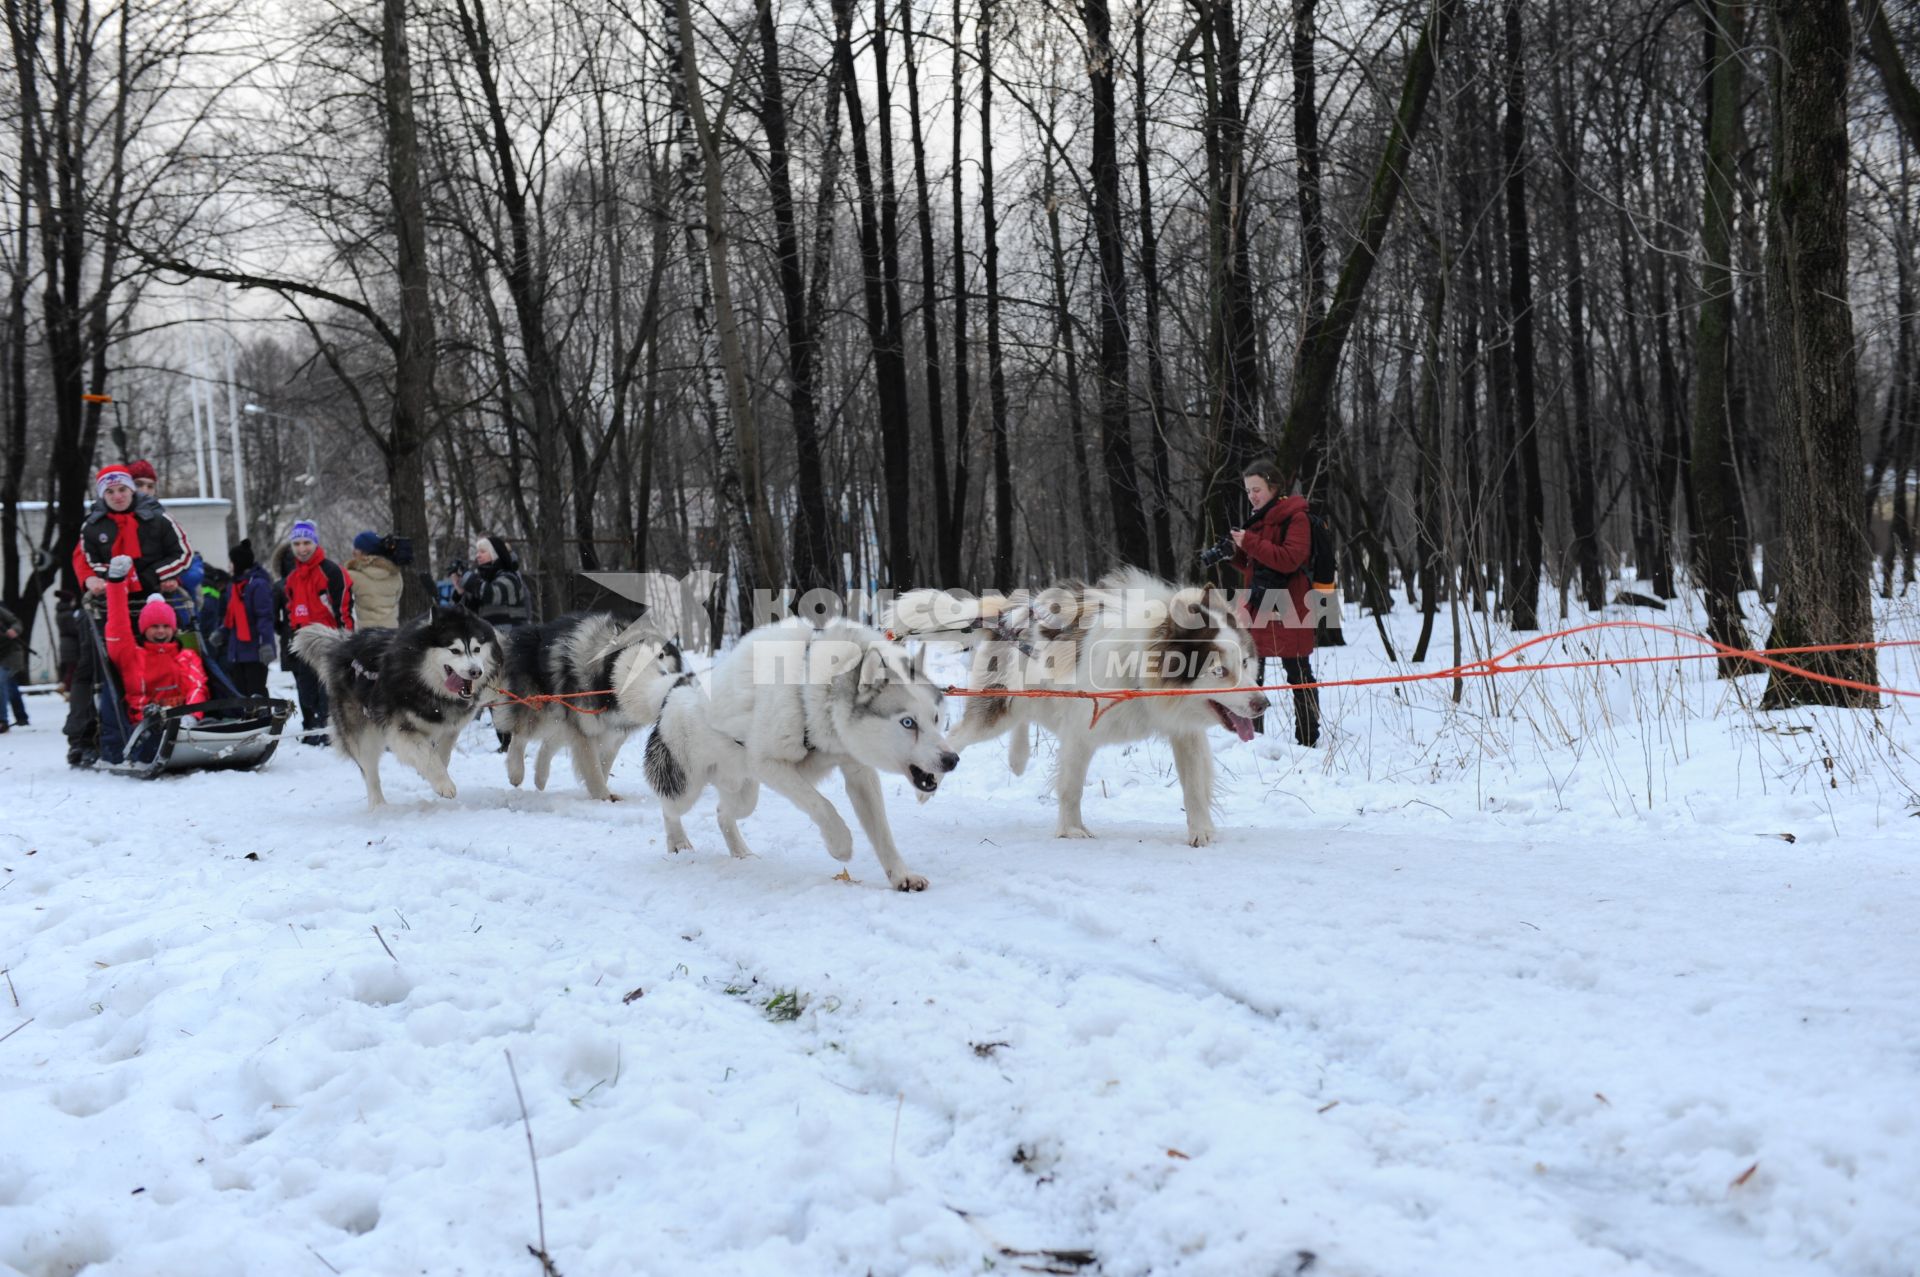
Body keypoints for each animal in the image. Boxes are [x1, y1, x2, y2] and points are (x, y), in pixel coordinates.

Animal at [291, 602, 503, 802]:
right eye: (455, 650)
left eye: (477, 649)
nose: (476, 672)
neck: (427, 686)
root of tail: (344, 646)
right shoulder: (400, 729)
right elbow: (427, 755)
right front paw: (443, 783)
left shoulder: (452, 725)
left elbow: (443, 750)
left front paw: (435, 769)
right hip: (362, 734)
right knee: (370, 773)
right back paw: (379, 807)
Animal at [491, 610, 687, 798]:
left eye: (661, 655)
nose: (665, 676)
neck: (608, 686)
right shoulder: (585, 730)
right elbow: (593, 770)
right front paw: (603, 797)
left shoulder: (613, 733)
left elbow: (604, 767)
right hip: (539, 710)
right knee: (520, 735)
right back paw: (516, 773)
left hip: (562, 718)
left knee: (547, 744)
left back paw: (540, 778)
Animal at [645, 618, 960, 887]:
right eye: (908, 722)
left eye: (935, 718)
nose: (952, 759)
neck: (821, 689)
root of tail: (677, 691)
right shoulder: (769, 764)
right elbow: (822, 804)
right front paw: (840, 844)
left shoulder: (859, 772)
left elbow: (882, 833)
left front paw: (901, 875)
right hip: (687, 789)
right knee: (669, 809)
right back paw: (678, 842)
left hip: (745, 794)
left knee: (723, 813)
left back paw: (741, 852)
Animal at [890, 568, 1267, 844]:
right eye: (1219, 671)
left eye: (1245, 662)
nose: (1262, 703)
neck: (1137, 668)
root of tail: (1007, 612)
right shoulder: (1080, 732)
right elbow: (1071, 786)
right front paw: (1071, 829)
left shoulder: (1185, 732)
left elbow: (1194, 786)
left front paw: (1201, 831)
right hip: (995, 712)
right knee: (959, 736)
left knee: (1023, 719)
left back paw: (1018, 757)